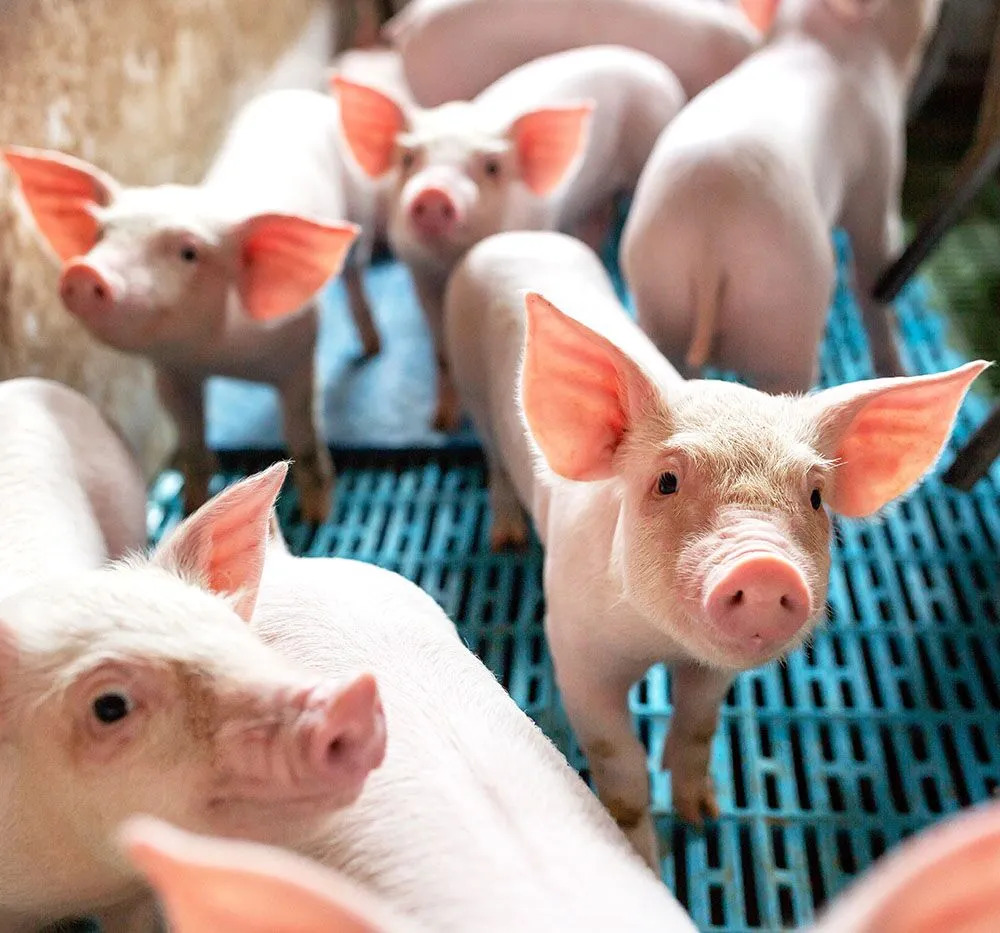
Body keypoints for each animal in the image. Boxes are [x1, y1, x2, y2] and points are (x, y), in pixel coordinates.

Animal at [3, 88, 367, 523]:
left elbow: (303, 435)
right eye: (101, 233)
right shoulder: (173, 371)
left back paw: (371, 348)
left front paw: (317, 517)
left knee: (356, 274)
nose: (83, 270)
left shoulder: (300, 351)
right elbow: (192, 444)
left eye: (189, 253)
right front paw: (190, 508)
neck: (219, 357)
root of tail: (298, 94)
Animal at [333, 45, 685, 429]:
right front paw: (440, 423)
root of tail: (649, 65)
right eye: (408, 158)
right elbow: (441, 352)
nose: (434, 192)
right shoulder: (419, 272)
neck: (449, 261)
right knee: (598, 219)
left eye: (492, 167)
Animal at [444, 230, 987, 869]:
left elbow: (698, 726)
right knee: (494, 462)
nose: (766, 566)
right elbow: (620, 769)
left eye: (816, 496)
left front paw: (704, 815)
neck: (659, 643)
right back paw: (504, 538)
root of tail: (515, 236)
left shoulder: (714, 670)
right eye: (666, 481)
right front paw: (645, 860)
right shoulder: (576, 651)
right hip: (473, 392)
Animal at [621, 0, 945, 394]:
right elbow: (875, 264)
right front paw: (900, 368)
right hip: (783, 317)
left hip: (661, 296)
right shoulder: (878, 167)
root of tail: (709, 246)